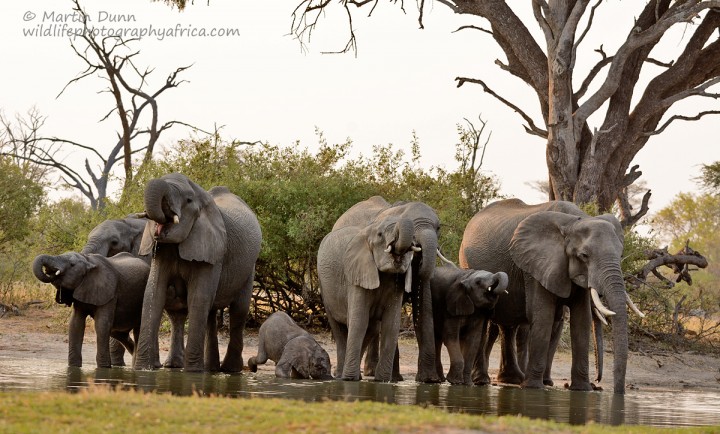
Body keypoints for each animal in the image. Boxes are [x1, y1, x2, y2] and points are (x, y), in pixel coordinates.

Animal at [133, 173, 262, 372]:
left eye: (188, 200)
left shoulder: (213, 249)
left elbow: (198, 297)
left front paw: (192, 373)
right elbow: (153, 295)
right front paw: (142, 370)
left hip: (249, 268)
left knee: (238, 311)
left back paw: (230, 370)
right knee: (210, 313)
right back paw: (210, 369)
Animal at [320, 215, 416, 382]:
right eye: (380, 235)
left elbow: (391, 325)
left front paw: (382, 381)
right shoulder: (356, 275)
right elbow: (359, 321)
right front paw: (349, 380)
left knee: (372, 328)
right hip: (326, 291)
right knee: (339, 328)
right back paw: (341, 376)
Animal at [458, 198, 640, 396]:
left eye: (620, 255)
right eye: (584, 256)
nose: (598, 383)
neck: (575, 221)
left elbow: (581, 320)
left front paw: (581, 390)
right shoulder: (535, 265)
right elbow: (544, 316)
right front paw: (533, 387)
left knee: (508, 325)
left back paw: (512, 379)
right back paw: (484, 381)